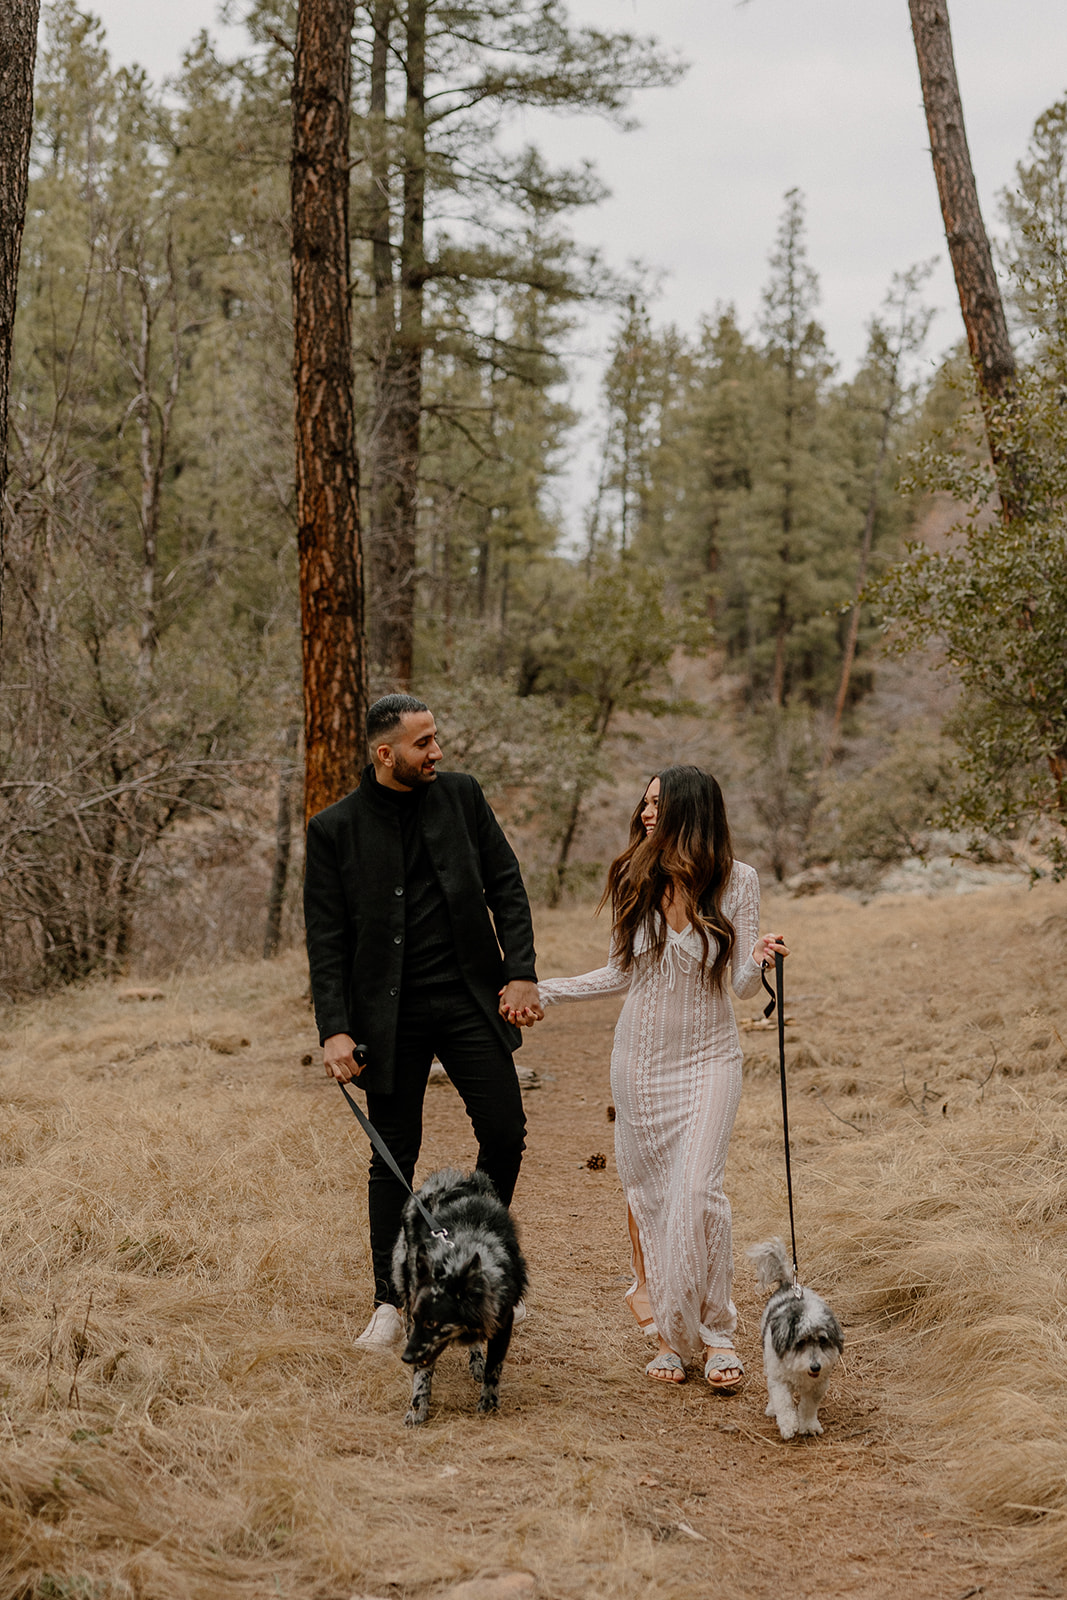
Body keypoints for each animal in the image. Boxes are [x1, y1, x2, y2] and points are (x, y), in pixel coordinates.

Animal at [390, 1164, 527, 1427]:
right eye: (419, 1319)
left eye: (433, 1323)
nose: (406, 1357)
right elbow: (423, 1374)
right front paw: (418, 1407)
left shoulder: (502, 1321)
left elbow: (494, 1368)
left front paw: (488, 1404)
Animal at [751, 1228, 844, 1446]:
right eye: (800, 1342)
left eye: (823, 1341)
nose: (815, 1366)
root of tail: (788, 1285)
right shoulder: (779, 1380)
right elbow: (784, 1403)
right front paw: (788, 1426)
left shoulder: (818, 1385)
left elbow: (808, 1407)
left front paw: (808, 1426)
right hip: (769, 1364)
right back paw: (772, 1409)